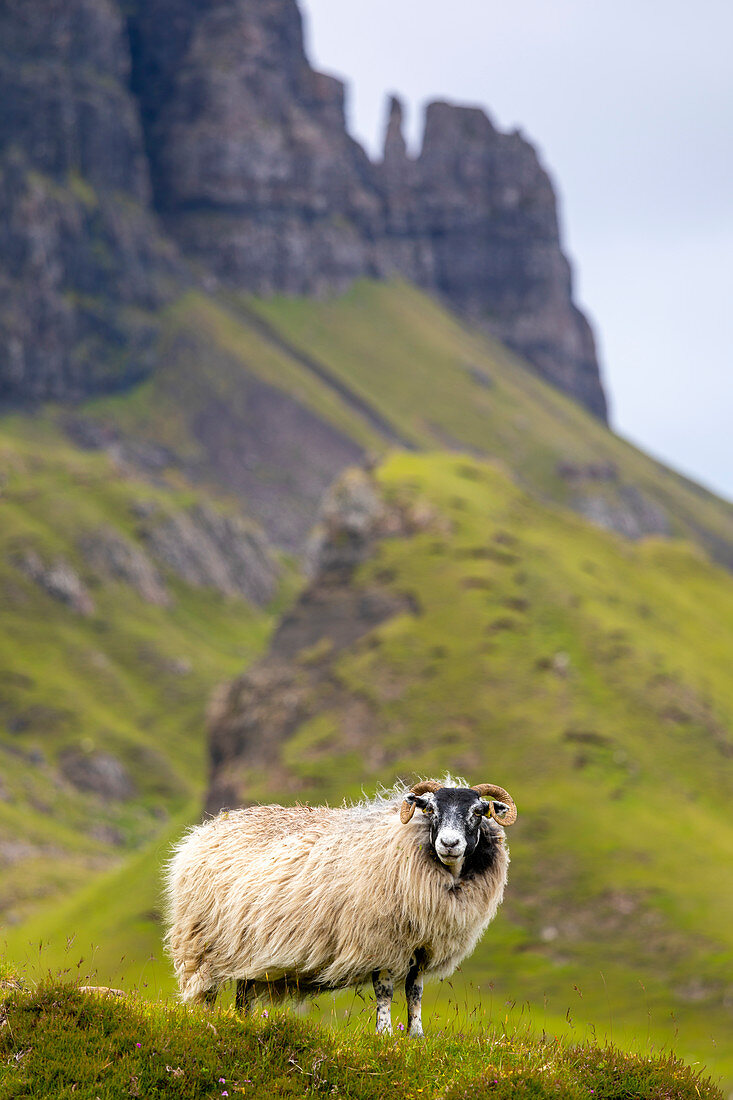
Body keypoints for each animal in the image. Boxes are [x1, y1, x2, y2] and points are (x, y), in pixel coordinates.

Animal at [162, 774, 517, 1029]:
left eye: (478, 812)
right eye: (430, 810)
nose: (449, 843)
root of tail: (205, 830)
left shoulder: (421, 948)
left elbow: (414, 994)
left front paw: (416, 1037)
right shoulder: (379, 942)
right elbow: (384, 993)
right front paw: (384, 1036)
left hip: (245, 951)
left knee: (243, 996)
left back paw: (243, 1024)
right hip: (201, 943)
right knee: (204, 994)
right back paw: (206, 1023)